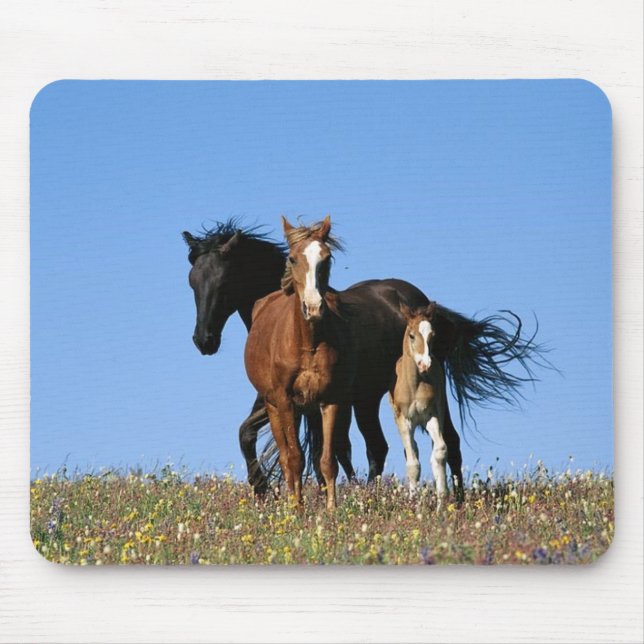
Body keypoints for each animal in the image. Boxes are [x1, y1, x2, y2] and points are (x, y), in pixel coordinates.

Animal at [243, 216, 353, 509]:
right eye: (292, 259)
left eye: (327, 258)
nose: (313, 308)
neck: (306, 344)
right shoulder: (284, 401)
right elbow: (293, 459)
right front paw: (297, 511)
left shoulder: (330, 400)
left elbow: (327, 462)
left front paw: (332, 511)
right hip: (274, 407)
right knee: (285, 457)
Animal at [389, 303, 449, 506]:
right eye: (412, 335)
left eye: (432, 335)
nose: (425, 364)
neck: (414, 384)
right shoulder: (404, 419)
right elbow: (413, 463)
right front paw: (412, 503)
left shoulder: (432, 415)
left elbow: (440, 451)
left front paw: (442, 502)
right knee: (412, 449)